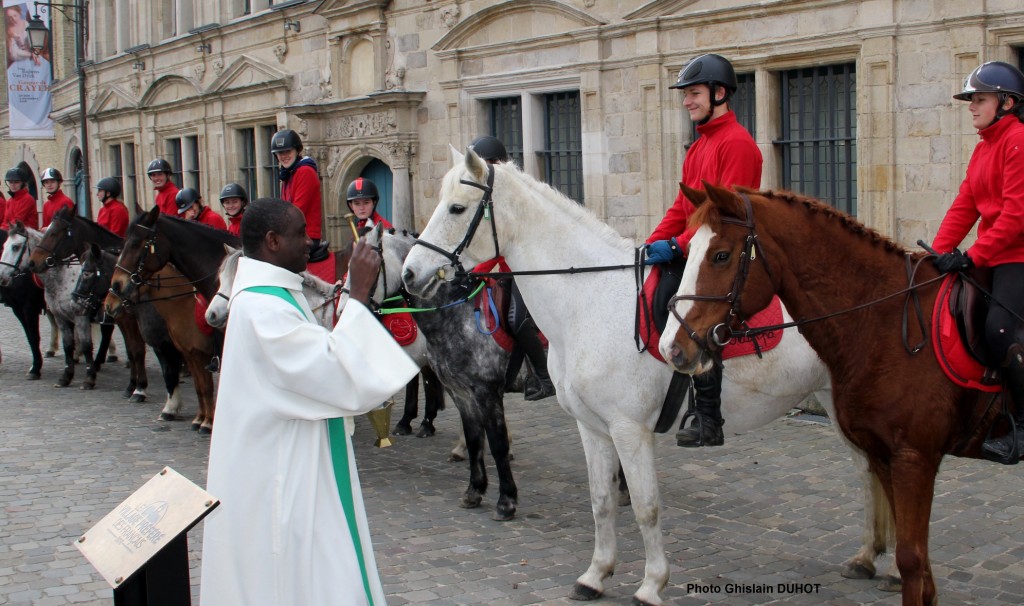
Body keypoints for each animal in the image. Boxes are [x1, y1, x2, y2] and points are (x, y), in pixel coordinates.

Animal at [403, 148, 892, 606]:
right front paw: (595, 575)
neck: (589, 299)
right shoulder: (592, 427)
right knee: (868, 469)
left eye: (457, 208)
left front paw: (652, 584)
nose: (410, 272)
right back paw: (868, 556)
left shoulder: (629, 429)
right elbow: (601, 501)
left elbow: (645, 507)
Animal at [663, 184, 1007, 606]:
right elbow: (918, 561)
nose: (672, 348)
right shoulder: (887, 456)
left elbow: (912, 560)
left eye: (721, 255)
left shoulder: (914, 459)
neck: (887, 323)